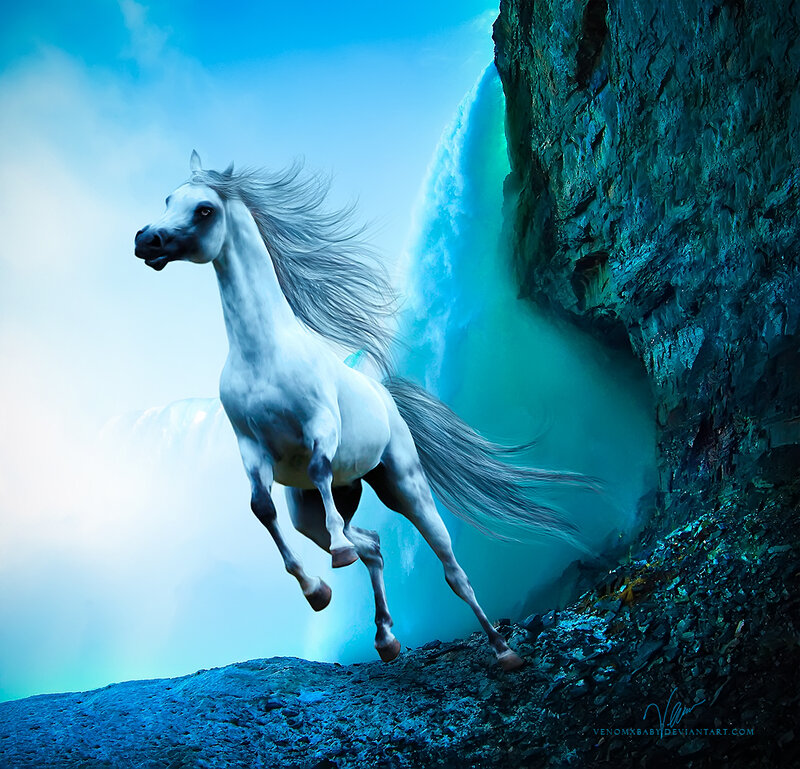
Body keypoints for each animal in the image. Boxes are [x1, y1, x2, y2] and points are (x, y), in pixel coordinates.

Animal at [133, 151, 594, 671]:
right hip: (314, 508)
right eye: (169, 199)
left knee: (449, 567)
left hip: (404, 485)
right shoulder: (251, 448)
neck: (264, 353)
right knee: (371, 545)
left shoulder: (320, 428)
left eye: (205, 209)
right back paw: (386, 639)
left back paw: (502, 649)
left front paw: (336, 557)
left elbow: (317, 468)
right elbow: (260, 507)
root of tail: (387, 397)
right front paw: (316, 591)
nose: (146, 240)